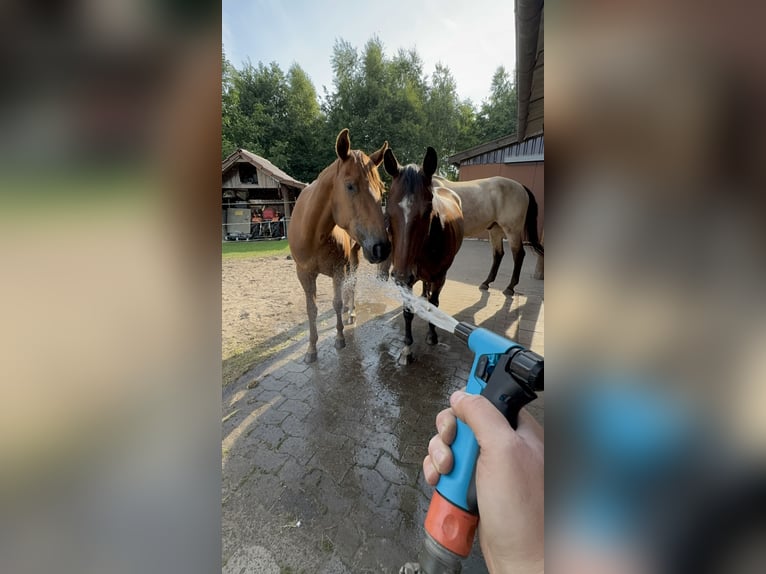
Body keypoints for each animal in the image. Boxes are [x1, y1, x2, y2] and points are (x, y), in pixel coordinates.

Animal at [288, 129, 391, 363]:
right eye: (350, 185)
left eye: (382, 190)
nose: (381, 248)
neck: (314, 234)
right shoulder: (304, 274)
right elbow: (312, 309)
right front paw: (311, 349)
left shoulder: (337, 269)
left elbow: (336, 302)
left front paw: (340, 338)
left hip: (353, 257)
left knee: (350, 287)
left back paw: (350, 312)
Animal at [384, 146, 464, 365]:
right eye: (388, 211)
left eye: (428, 210)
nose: (401, 276)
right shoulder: (406, 279)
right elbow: (407, 311)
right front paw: (406, 349)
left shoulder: (439, 276)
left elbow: (435, 303)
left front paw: (432, 335)